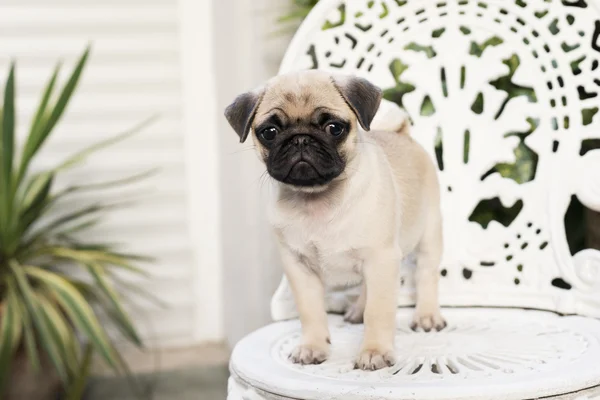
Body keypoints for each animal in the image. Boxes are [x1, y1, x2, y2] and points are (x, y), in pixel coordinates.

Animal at [225, 69, 446, 372]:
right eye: (269, 132)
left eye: (334, 128)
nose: (301, 139)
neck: (317, 199)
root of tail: (400, 133)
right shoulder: (299, 267)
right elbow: (311, 311)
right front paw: (312, 347)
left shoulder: (381, 258)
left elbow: (379, 311)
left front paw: (374, 351)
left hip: (429, 232)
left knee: (426, 274)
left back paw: (426, 315)